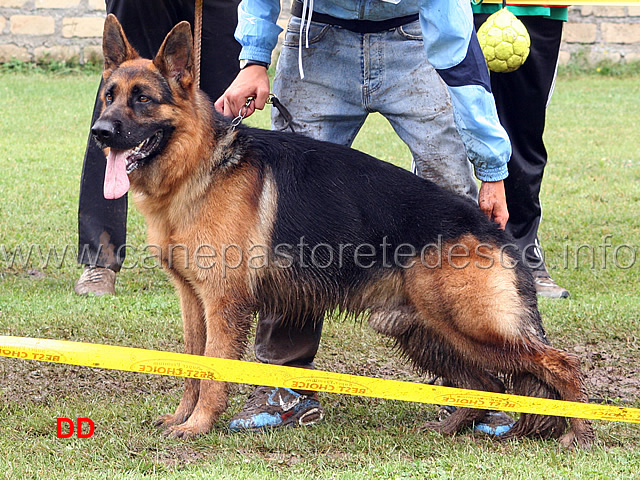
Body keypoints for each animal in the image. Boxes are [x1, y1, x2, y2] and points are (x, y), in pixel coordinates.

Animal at [94, 15, 596, 450]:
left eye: (143, 99)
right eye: (109, 96)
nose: (100, 132)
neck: (199, 165)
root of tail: (493, 228)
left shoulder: (222, 305)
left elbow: (213, 373)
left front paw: (198, 425)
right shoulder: (193, 302)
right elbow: (191, 367)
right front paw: (183, 417)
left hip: (473, 326)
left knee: (561, 365)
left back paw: (579, 433)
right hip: (425, 330)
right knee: (486, 382)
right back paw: (451, 427)